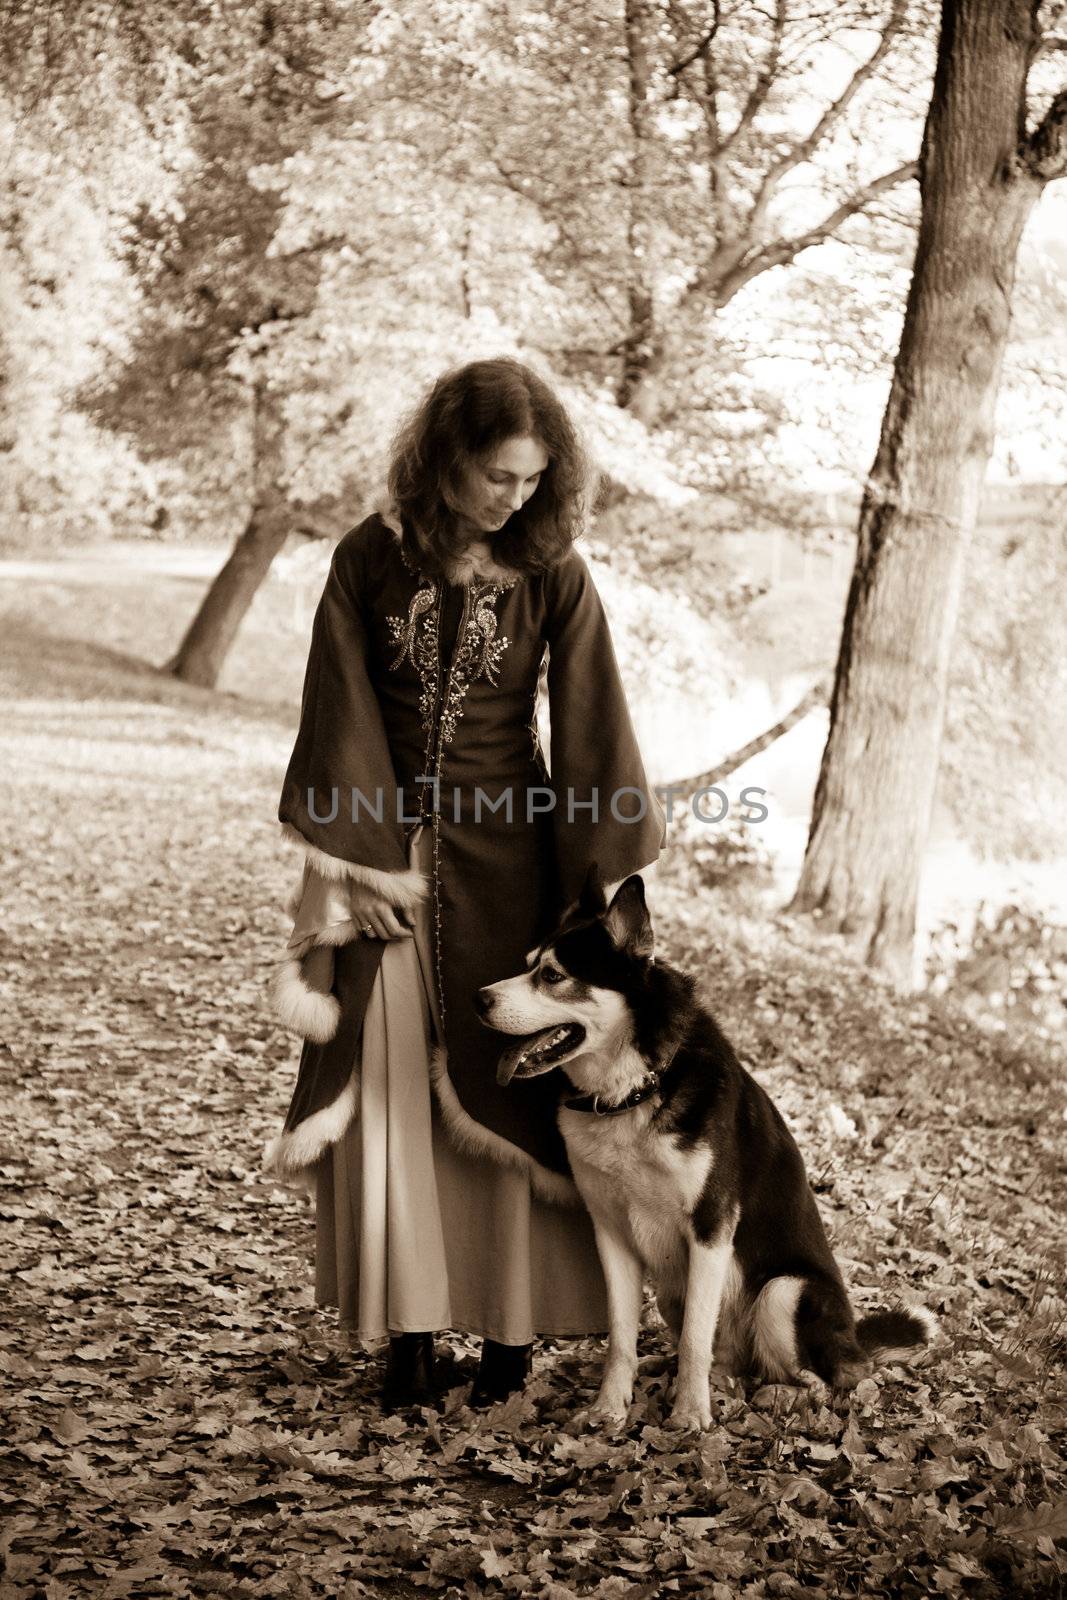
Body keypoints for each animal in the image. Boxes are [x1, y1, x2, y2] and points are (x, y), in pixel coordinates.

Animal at [473, 870, 934, 1433]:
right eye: (527, 964)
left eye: (553, 975)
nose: (478, 999)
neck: (638, 1088)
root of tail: (855, 1345)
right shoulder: (611, 1232)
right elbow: (621, 1338)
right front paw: (610, 1406)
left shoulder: (711, 1230)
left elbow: (696, 1338)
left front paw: (691, 1414)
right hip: (676, 1291)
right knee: (732, 1363)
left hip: (784, 1292)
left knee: (820, 1383)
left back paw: (776, 1397)